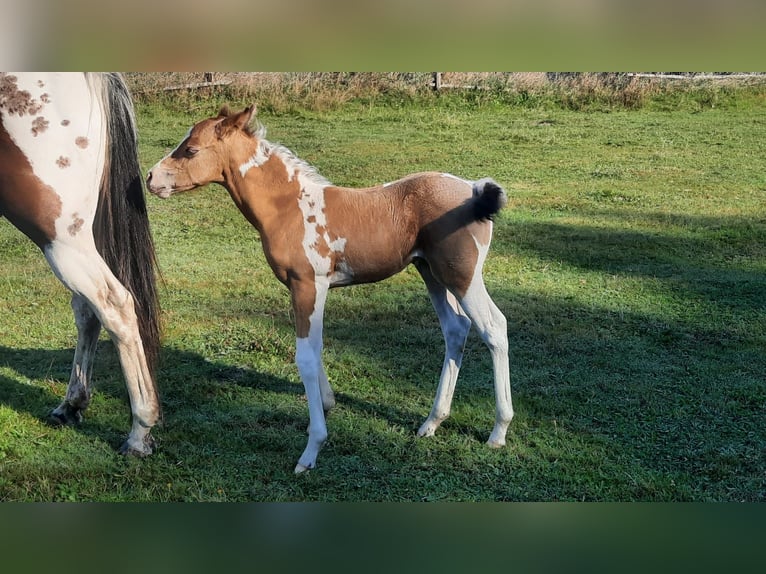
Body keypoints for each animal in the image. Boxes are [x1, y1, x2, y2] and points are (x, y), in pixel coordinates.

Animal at [147, 104, 512, 472]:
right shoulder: (305, 289)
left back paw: (498, 431)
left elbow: (306, 357)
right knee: (456, 329)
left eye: (191, 150)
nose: (150, 177)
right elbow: (317, 347)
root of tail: (474, 189)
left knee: (494, 328)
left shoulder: (308, 285)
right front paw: (326, 403)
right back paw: (432, 422)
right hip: (432, 273)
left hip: (462, 276)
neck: (288, 207)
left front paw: (311, 449)